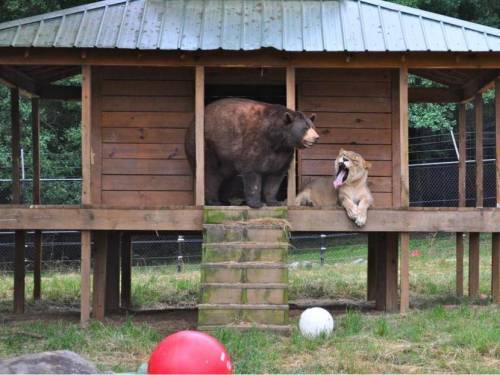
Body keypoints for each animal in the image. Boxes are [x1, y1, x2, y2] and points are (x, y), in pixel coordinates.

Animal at [186, 97, 318, 209]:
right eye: (305, 128)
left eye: (313, 126)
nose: (316, 137)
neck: (275, 139)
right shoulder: (255, 142)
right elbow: (252, 171)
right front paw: (256, 203)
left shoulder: (284, 152)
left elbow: (276, 176)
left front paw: (273, 201)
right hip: (207, 145)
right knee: (210, 172)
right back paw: (214, 201)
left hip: (226, 159)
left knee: (224, 175)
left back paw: (224, 200)